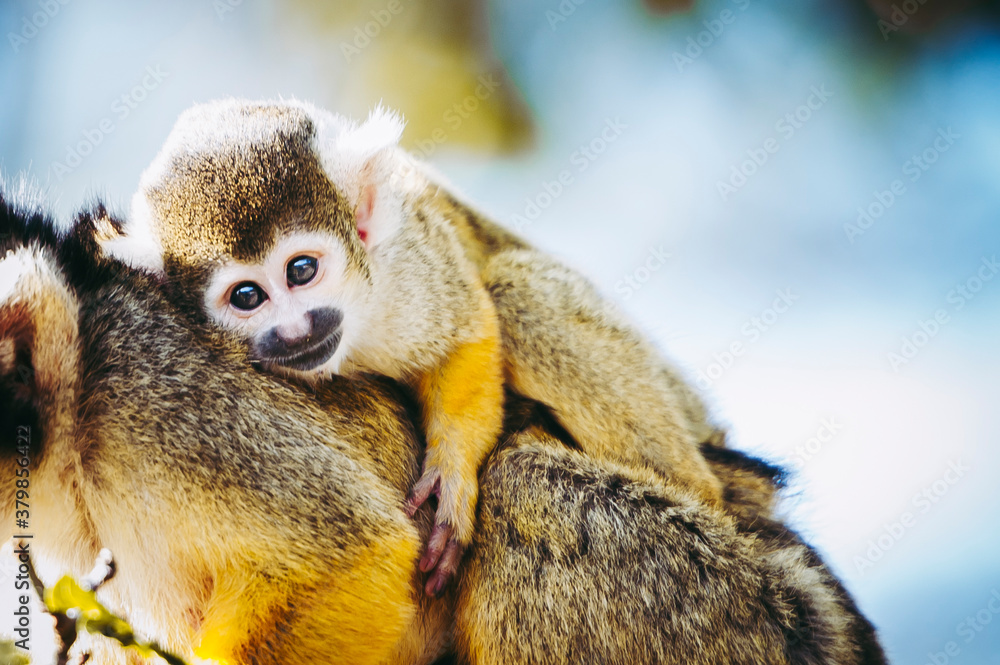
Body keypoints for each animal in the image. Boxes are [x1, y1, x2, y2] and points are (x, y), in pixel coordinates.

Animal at [104, 99, 725, 594]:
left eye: (301, 270)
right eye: (247, 296)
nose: (297, 331)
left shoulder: (405, 264)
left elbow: (467, 331)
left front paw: (451, 478)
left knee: (515, 292)